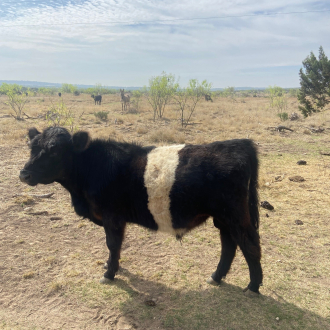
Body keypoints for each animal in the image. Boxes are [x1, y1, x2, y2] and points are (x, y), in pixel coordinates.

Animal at [20, 127, 262, 296]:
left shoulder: (112, 218)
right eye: (32, 148)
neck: (93, 168)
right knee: (229, 245)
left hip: (236, 216)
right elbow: (114, 247)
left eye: (54, 151)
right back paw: (216, 277)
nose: (24, 174)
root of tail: (239, 144)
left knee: (249, 244)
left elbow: (112, 244)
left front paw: (109, 273)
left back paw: (253, 286)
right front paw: (111, 266)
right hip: (223, 218)